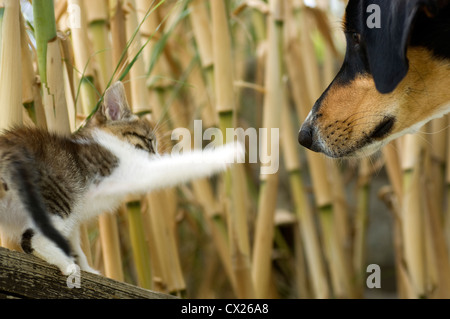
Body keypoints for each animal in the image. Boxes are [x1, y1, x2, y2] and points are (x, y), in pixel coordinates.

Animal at [0, 82, 243, 276]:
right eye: (149, 142)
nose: (156, 154)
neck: (109, 142)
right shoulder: (131, 170)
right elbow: (175, 166)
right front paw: (227, 153)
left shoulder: (78, 214)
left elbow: (73, 239)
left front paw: (88, 268)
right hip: (55, 193)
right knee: (32, 239)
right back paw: (67, 265)